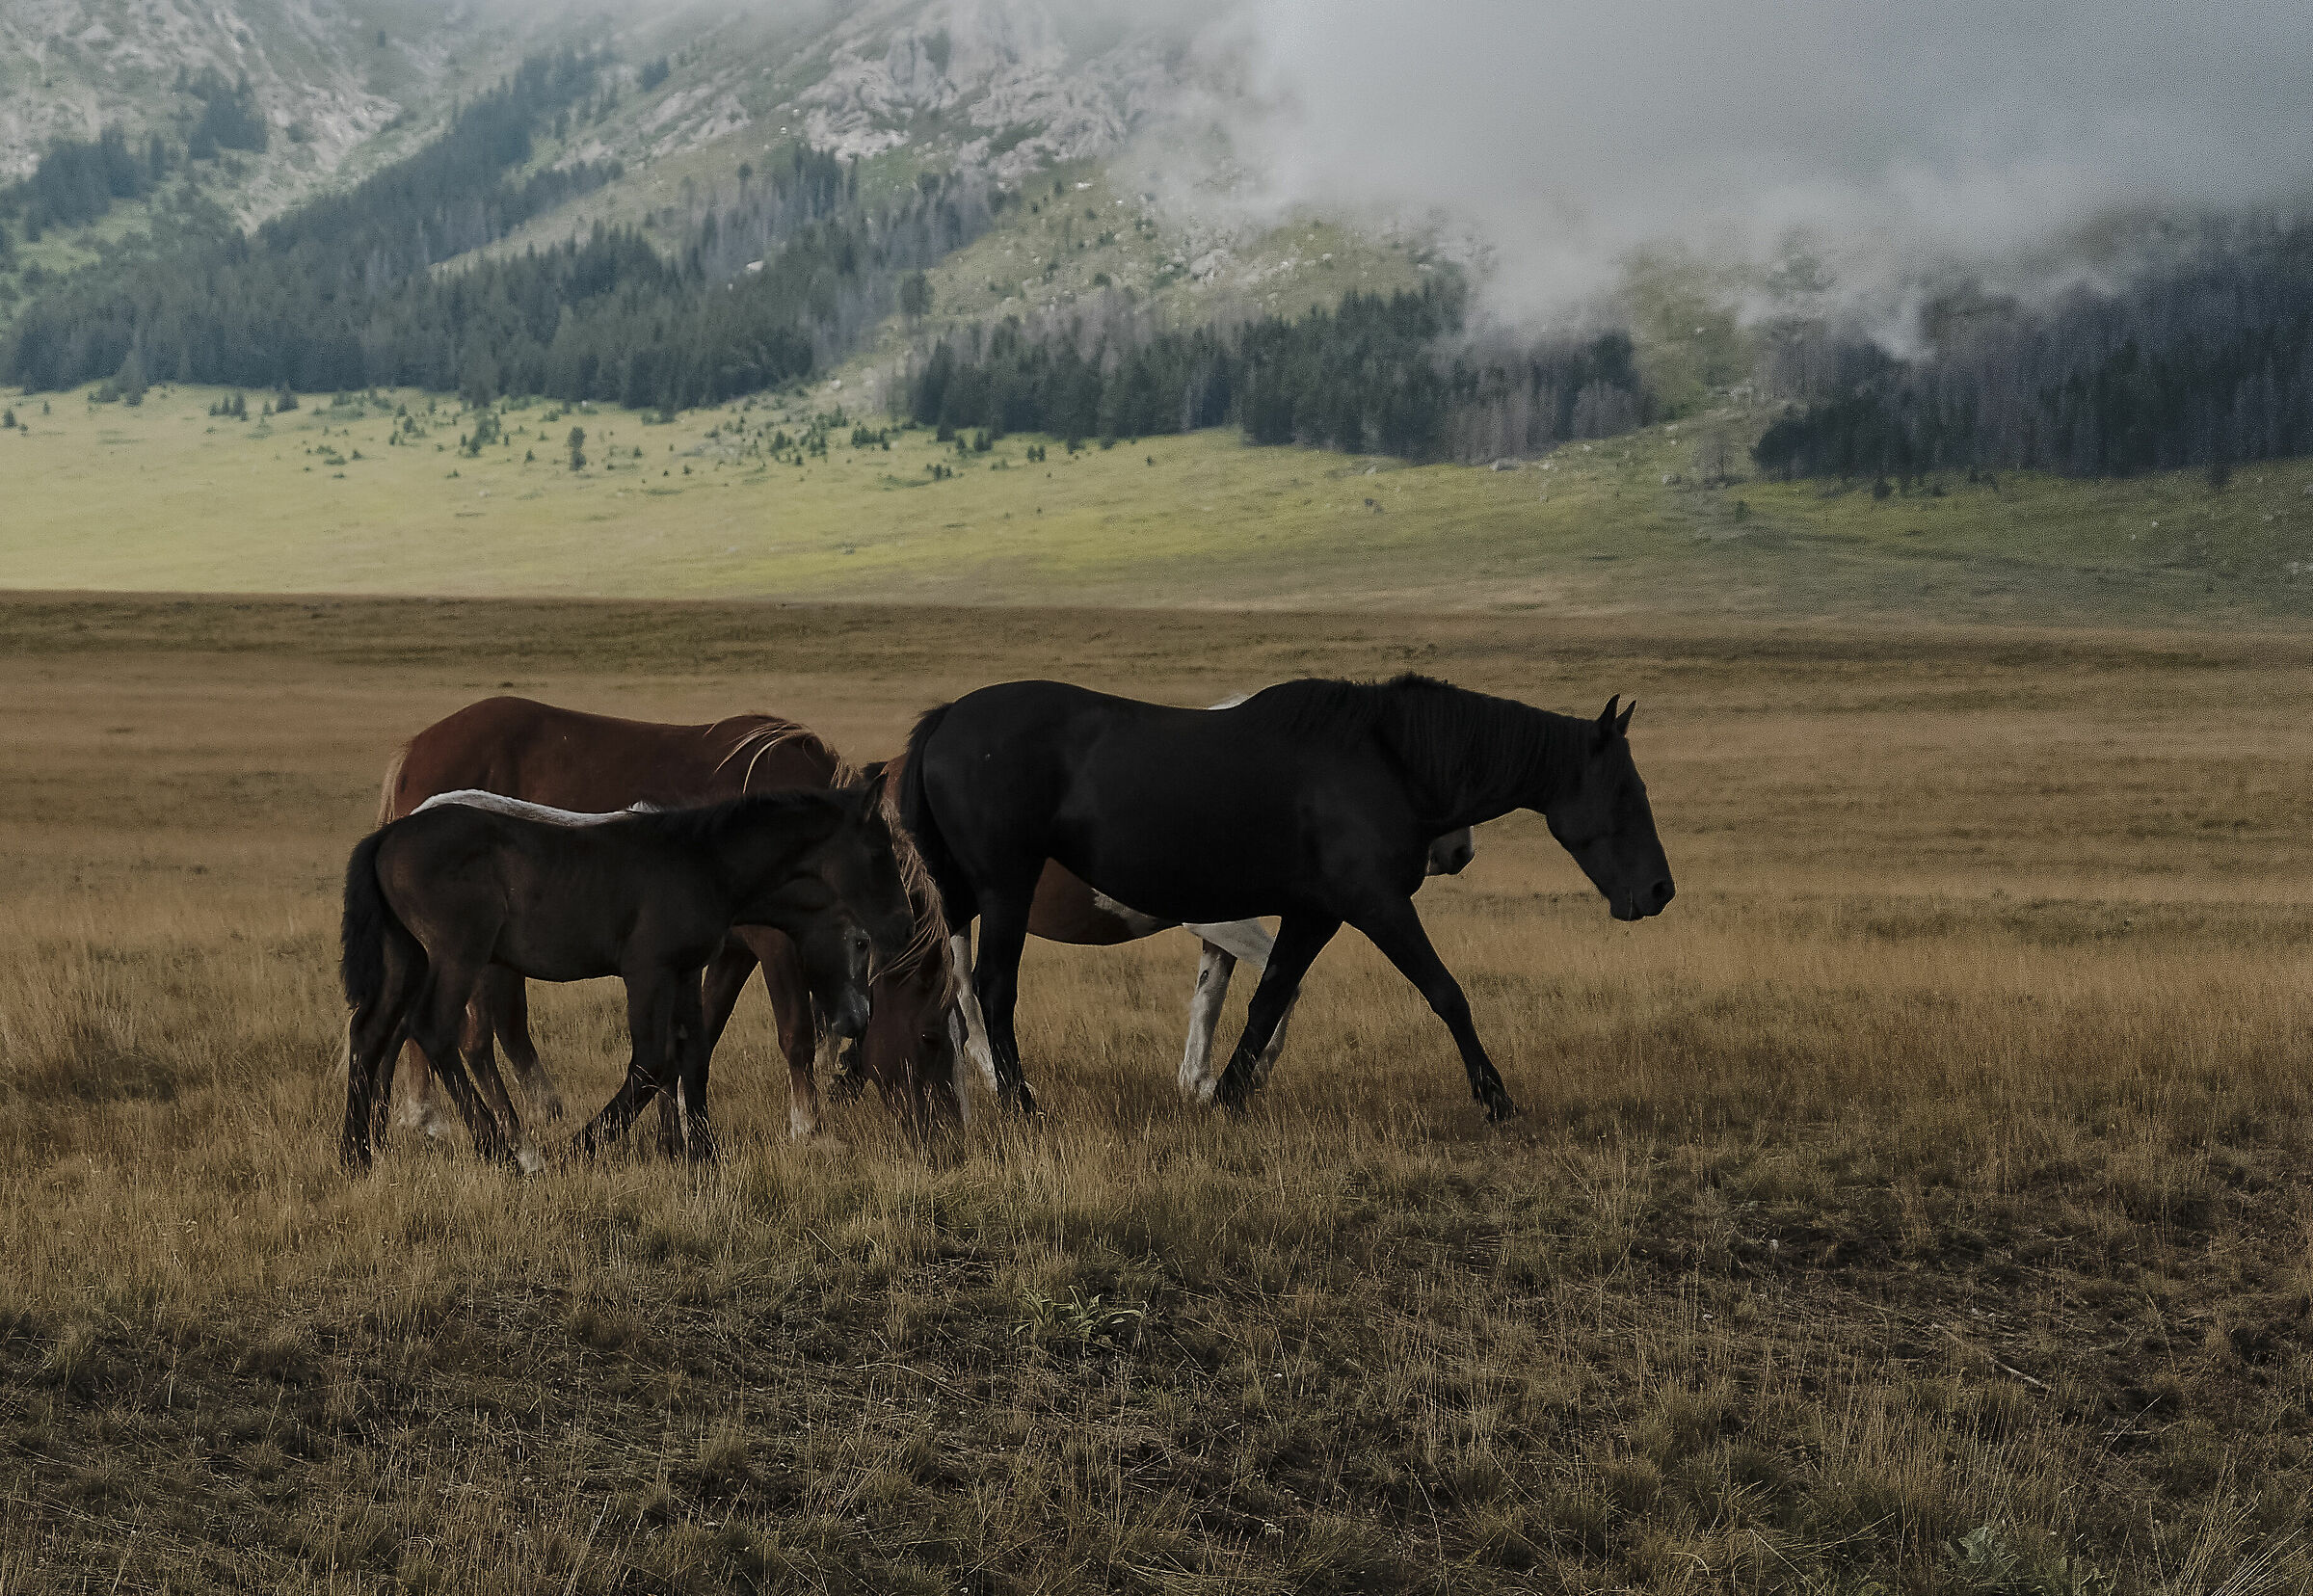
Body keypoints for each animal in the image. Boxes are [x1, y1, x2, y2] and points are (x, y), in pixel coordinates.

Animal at [339, 788, 904, 1170]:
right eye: (860, 942)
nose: (860, 1019)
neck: (702, 862)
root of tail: (388, 833)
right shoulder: (647, 973)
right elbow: (653, 1062)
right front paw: (580, 1147)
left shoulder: (682, 971)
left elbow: (692, 1054)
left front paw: (699, 1152)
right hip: (460, 956)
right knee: (435, 1031)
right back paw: (510, 1152)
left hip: (407, 958)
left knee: (372, 1034)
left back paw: (359, 1154)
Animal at [377, 697, 959, 1142]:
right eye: (931, 1037)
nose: (950, 1131)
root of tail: (414, 754)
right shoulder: (774, 944)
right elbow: (795, 1032)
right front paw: (807, 1129)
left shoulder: (725, 950)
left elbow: (705, 1029)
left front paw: (680, 1115)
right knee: (466, 1032)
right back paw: (440, 1118)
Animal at [899, 674, 1674, 1120]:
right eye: (1626, 792)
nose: (1660, 891)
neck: (1383, 759)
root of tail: (945, 719)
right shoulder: (1373, 905)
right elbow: (1445, 991)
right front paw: (1495, 1097)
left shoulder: (1314, 912)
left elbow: (1266, 997)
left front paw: (1227, 1094)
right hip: (1005, 890)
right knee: (991, 991)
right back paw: (1021, 1103)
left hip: (963, 900)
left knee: (950, 993)